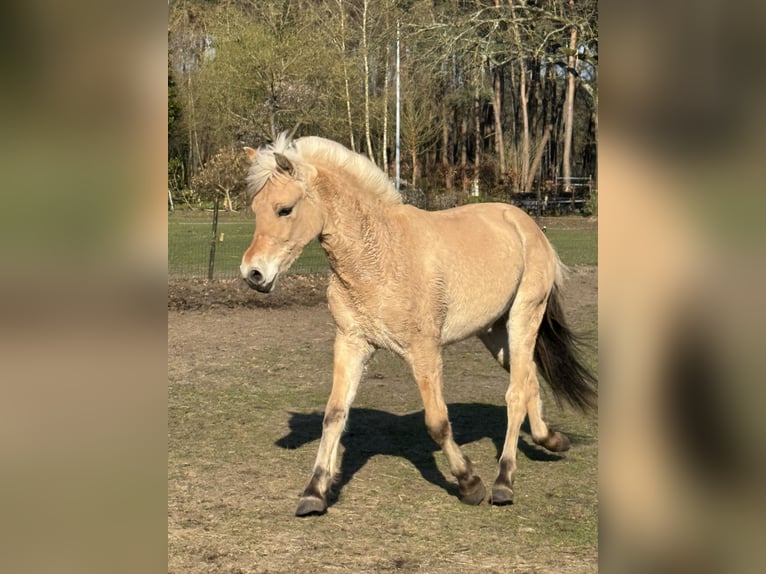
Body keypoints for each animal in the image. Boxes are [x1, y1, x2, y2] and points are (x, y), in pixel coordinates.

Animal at [240, 133, 597, 516]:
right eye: (255, 208)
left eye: (285, 209)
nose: (253, 274)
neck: (380, 256)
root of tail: (526, 223)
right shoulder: (351, 343)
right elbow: (334, 414)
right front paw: (315, 491)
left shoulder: (424, 351)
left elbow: (437, 422)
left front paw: (470, 483)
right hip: (494, 333)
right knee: (528, 376)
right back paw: (551, 440)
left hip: (523, 318)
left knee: (515, 393)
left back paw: (504, 481)